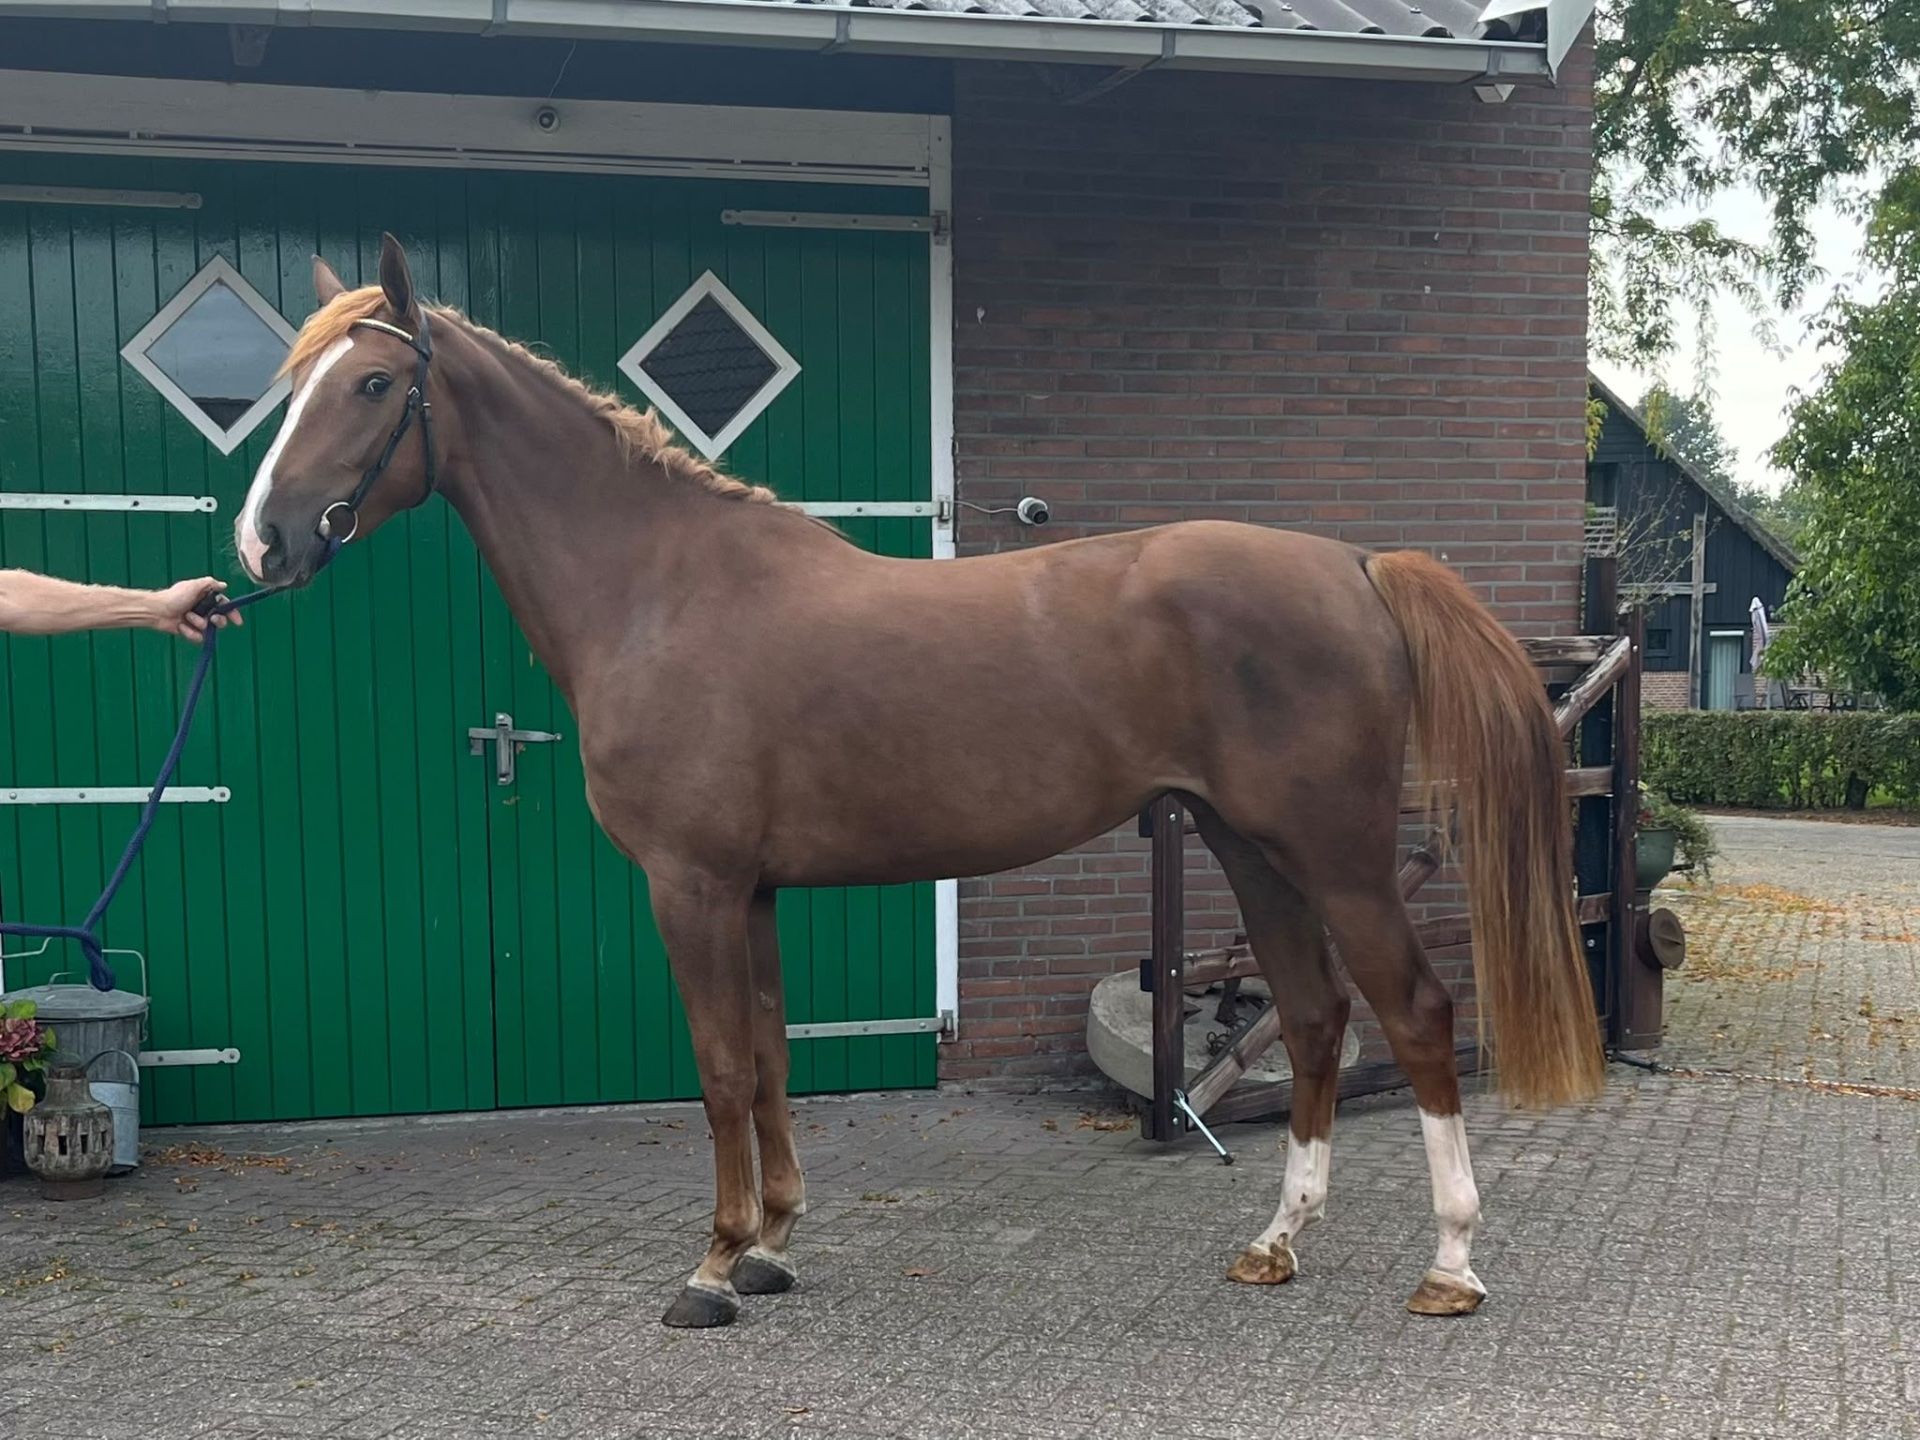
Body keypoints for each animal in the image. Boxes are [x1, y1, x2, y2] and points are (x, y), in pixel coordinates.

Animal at [235, 234, 1604, 1329]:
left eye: (372, 383)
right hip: (1247, 847)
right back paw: (1276, 1244)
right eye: (295, 386)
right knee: (1316, 1019)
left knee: (1415, 1014)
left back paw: (1450, 1266)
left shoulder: (691, 885)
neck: (661, 590)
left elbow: (719, 1070)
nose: (262, 542)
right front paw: (773, 1246)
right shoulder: (753, 892)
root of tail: (1359, 566)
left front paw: (713, 1268)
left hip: (1338, 854)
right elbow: (770, 1059)